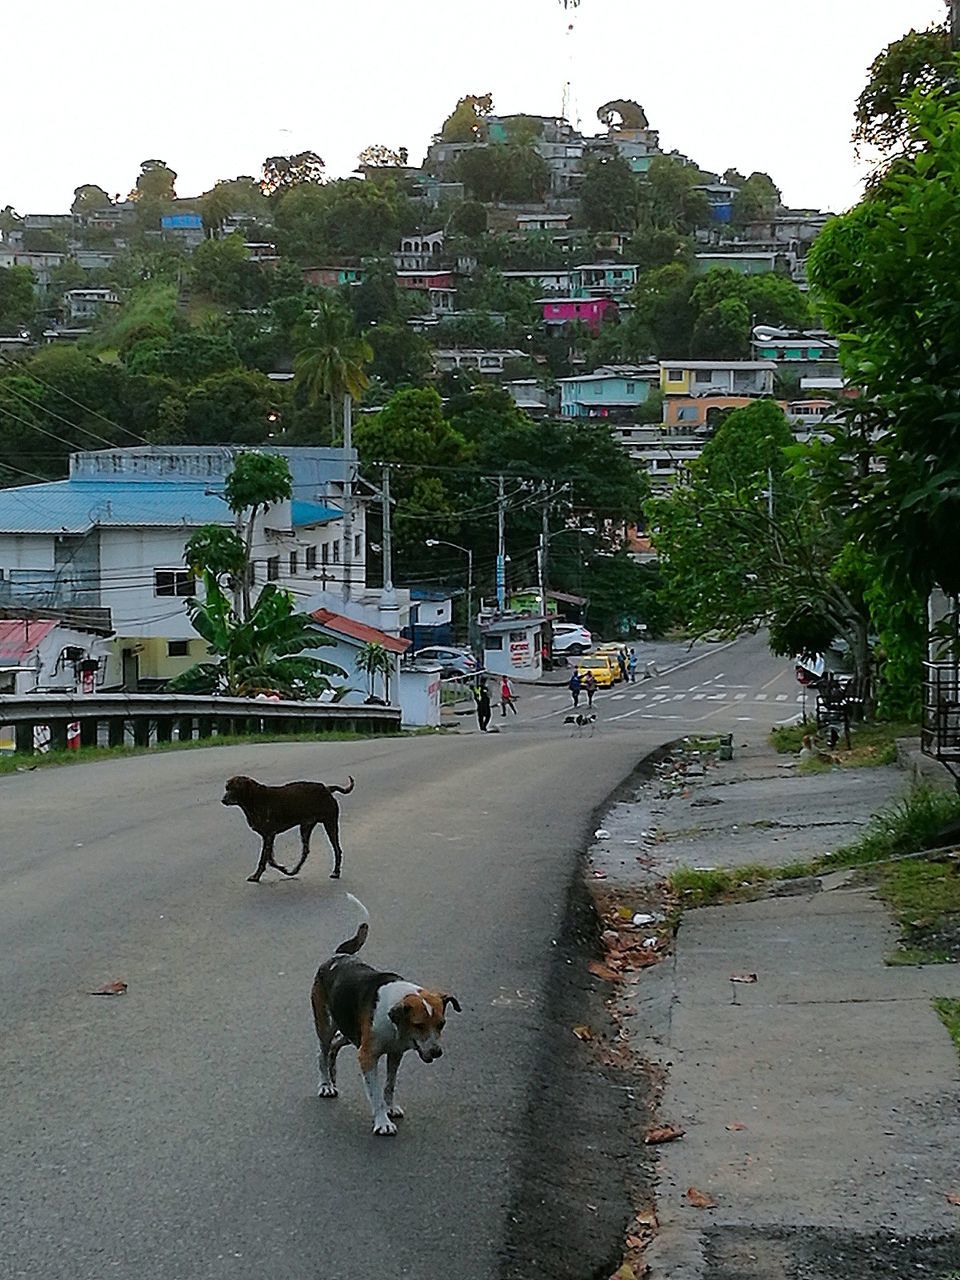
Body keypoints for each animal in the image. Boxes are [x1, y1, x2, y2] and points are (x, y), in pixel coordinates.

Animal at [221, 773, 358, 885]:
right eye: (227, 788)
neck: (255, 799)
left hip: (330, 824)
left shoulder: (269, 835)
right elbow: (270, 859)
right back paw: (295, 870)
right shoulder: (268, 836)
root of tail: (327, 788)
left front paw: (257, 876)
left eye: (235, 788)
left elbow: (265, 859)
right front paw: (283, 869)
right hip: (305, 828)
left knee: (337, 849)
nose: (223, 800)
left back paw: (336, 872)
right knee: (306, 850)